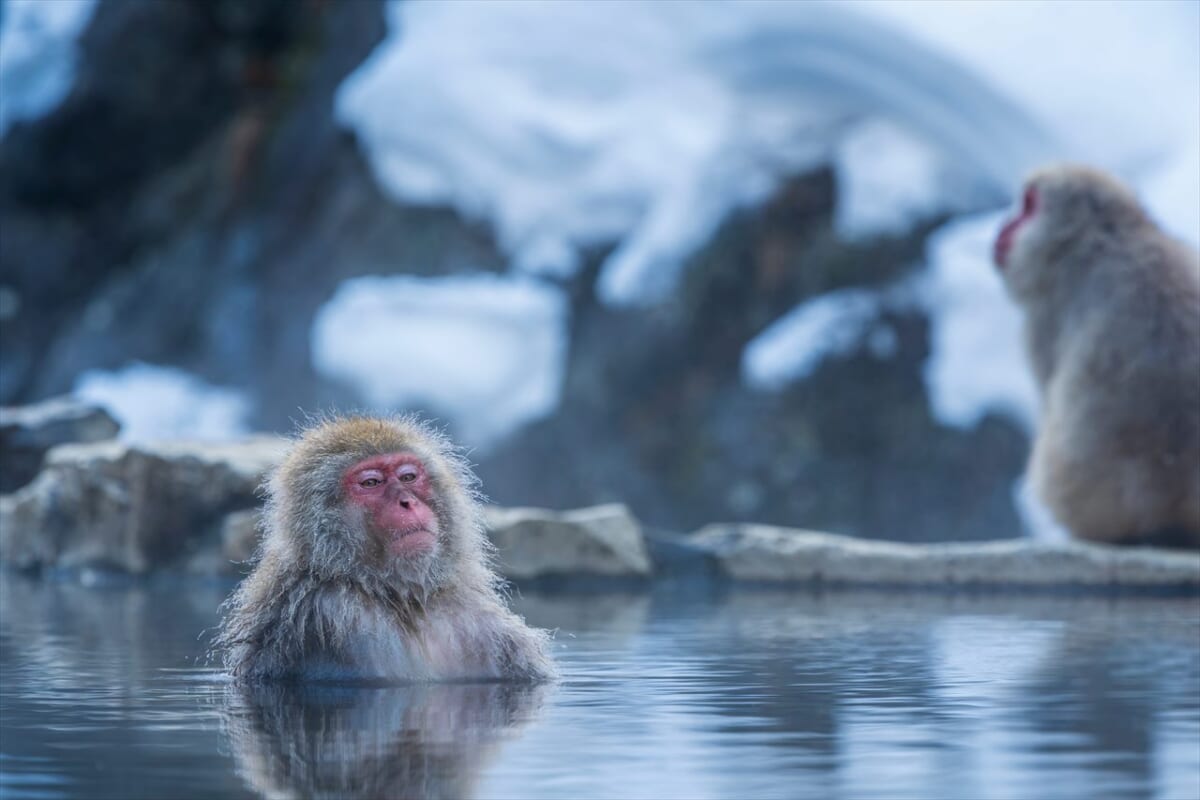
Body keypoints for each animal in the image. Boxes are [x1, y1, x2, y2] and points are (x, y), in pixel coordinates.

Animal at [214, 417, 552, 686]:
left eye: (408, 477)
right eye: (371, 483)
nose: (407, 502)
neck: (400, 598)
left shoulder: (488, 627)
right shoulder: (333, 615)